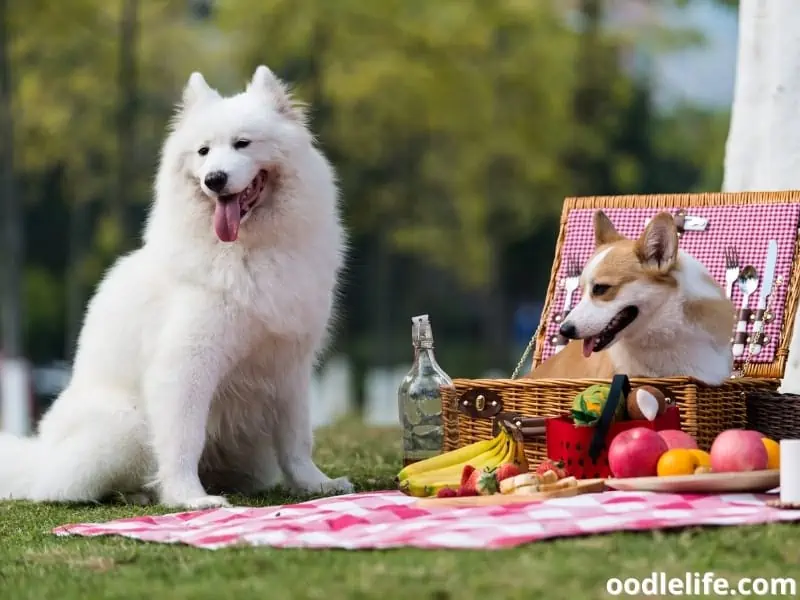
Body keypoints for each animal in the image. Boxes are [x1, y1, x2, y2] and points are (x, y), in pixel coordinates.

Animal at [0, 65, 354, 506]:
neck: (247, 249)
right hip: (126, 425)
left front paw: (316, 485)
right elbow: (184, 438)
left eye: (242, 143)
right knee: (67, 485)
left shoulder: (289, 367)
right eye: (203, 152)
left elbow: (297, 440)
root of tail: (40, 457)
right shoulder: (186, 363)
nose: (215, 179)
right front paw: (189, 498)